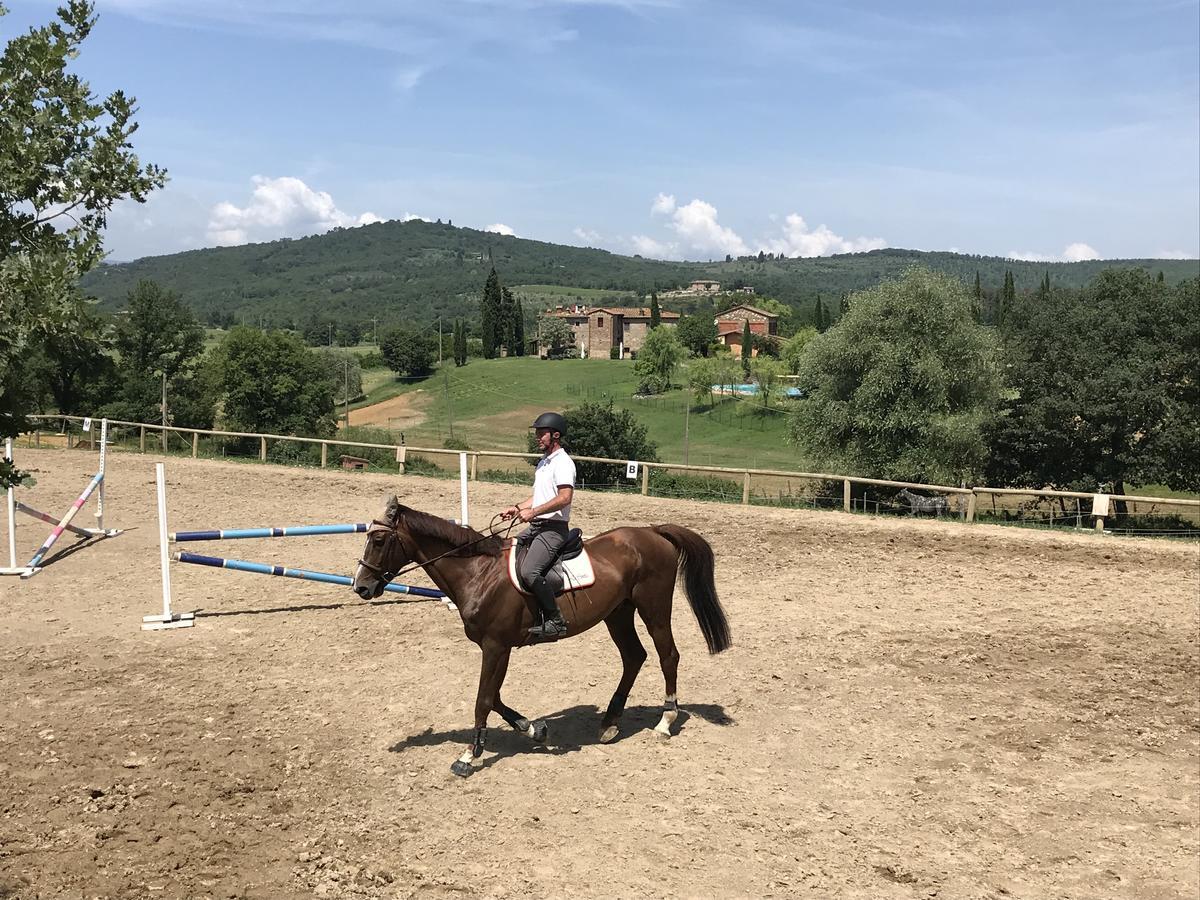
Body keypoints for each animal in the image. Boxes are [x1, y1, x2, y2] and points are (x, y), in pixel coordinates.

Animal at [352, 496, 729, 777]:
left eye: (380, 540)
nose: (361, 587)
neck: (478, 573)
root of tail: (653, 532)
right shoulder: (499, 648)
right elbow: (496, 697)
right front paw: (533, 729)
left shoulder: (496, 646)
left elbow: (484, 699)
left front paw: (468, 756)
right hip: (618, 613)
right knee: (634, 657)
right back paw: (610, 723)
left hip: (653, 608)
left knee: (668, 656)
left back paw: (665, 721)